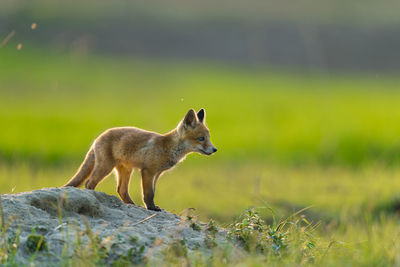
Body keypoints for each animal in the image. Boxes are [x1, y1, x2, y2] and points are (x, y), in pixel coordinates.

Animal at [63, 109, 217, 211]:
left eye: (208, 138)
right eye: (201, 138)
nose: (214, 149)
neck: (168, 147)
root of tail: (98, 137)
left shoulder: (157, 174)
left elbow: (152, 192)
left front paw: (152, 206)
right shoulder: (148, 171)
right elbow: (148, 193)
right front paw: (151, 208)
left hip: (126, 170)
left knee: (121, 190)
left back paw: (131, 205)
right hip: (105, 167)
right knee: (89, 182)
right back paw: (95, 198)